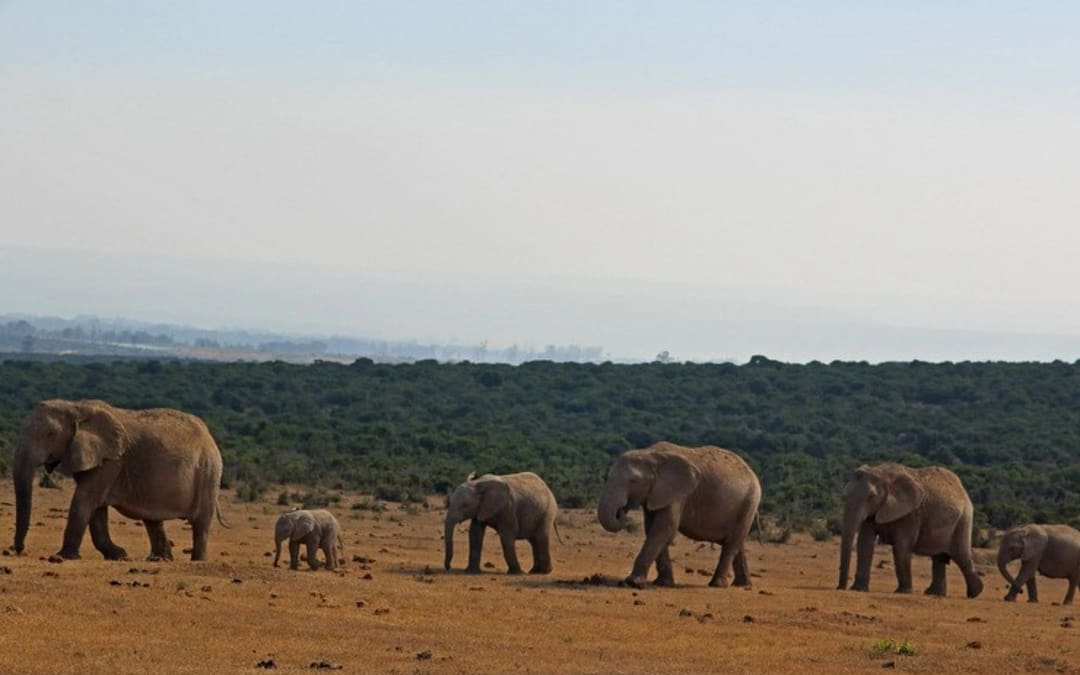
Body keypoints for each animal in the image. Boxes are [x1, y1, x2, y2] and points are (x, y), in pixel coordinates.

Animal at [10, 399, 225, 561]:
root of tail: (210, 436)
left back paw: (197, 561)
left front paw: (62, 557)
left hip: (208, 471)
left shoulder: (111, 461)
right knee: (153, 519)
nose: (18, 549)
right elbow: (95, 508)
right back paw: (159, 559)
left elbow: (85, 500)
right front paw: (120, 555)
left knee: (200, 523)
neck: (76, 407)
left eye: (50, 434)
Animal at [597, 442, 762, 589]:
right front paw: (663, 583)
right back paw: (742, 585)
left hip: (749, 502)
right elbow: (652, 529)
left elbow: (664, 529)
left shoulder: (678, 494)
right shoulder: (658, 493)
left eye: (634, 481)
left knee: (731, 544)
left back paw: (717, 585)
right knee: (737, 543)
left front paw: (632, 583)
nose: (622, 510)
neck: (650, 454)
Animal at [837, 463, 983, 598]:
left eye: (871, 496)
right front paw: (858, 589)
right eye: (844, 495)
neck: (882, 473)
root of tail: (962, 489)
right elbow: (865, 543)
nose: (840, 588)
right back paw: (934, 594)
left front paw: (902, 592)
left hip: (963, 519)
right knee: (939, 557)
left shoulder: (911, 513)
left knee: (961, 556)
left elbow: (901, 547)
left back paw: (975, 593)